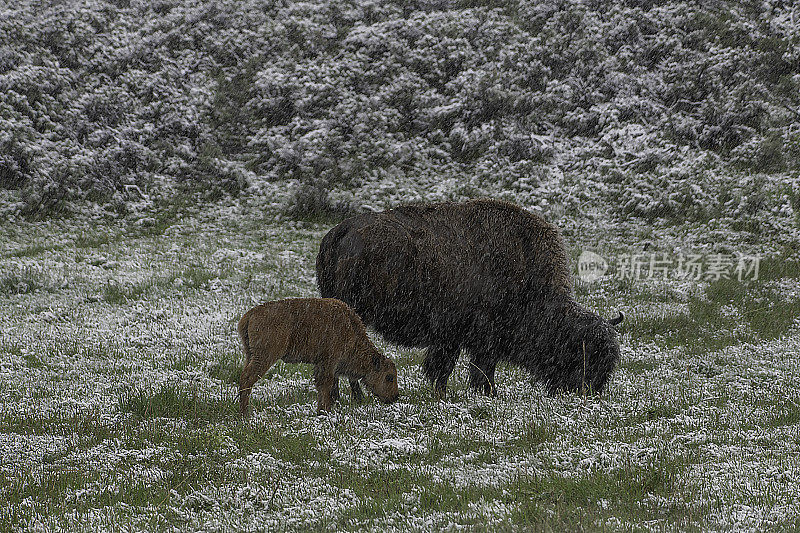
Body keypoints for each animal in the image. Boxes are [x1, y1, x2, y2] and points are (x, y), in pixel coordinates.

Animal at [238, 298, 400, 414]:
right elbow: (326, 384)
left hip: (250, 354)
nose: (395, 397)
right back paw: (245, 413)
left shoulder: (322, 364)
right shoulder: (329, 362)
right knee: (248, 377)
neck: (351, 330)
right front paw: (324, 410)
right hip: (266, 356)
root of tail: (251, 314)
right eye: (389, 377)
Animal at [316, 198, 620, 394]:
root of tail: (340, 231)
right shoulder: (478, 339)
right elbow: (475, 369)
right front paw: (486, 393)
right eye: (585, 352)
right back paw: (355, 396)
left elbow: (443, 369)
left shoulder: (451, 339)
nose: (588, 391)